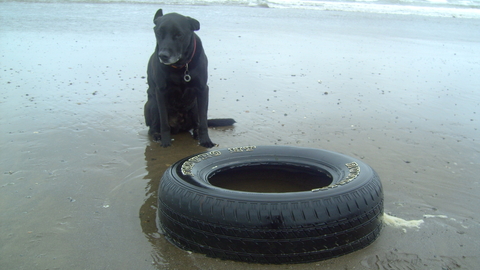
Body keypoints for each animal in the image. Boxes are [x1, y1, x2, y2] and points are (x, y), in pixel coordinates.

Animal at [143, 8, 235, 148]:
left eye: (179, 34)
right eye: (159, 33)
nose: (163, 56)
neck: (181, 66)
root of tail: (178, 127)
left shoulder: (203, 90)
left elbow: (203, 121)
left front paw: (205, 140)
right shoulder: (160, 92)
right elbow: (164, 122)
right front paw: (165, 142)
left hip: (195, 106)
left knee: (197, 123)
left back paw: (196, 133)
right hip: (152, 103)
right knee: (153, 127)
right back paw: (157, 135)